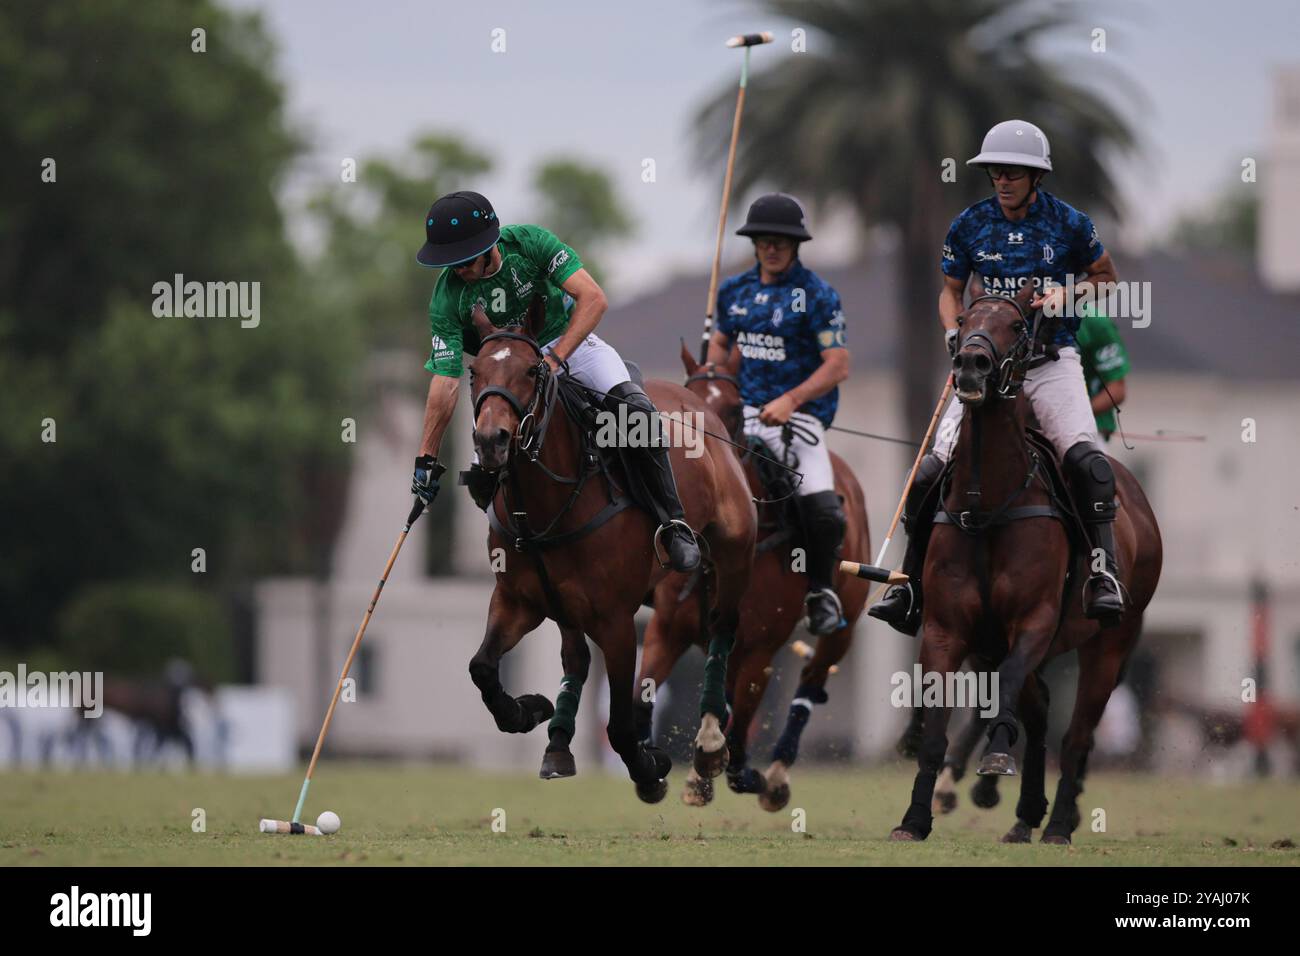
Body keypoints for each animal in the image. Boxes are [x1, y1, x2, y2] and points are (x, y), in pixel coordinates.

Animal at [467, 297, 759, 801]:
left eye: (531, 370)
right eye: (473, 371)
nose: (491, 441)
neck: (546, 503)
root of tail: (700, 401)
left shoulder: (617, 620)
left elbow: (621, 725)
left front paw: (650, 768)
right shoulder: (517, 600)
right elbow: (482, 667)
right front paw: (529, 709)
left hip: (734, 549)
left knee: (724, 627)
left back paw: (709, 744)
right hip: (567, 603)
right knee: (575, 657)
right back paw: (558, 746)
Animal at [631, 348, 873, 811]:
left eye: (732, 409)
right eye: (690, 392)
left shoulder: (762, 647)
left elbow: (741, 736)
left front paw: (733, 768)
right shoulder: (666, 630)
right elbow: (642, 693)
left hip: (842, 626)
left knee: (810, 680)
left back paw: (773, 777)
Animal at [889, 290, 1164, 842]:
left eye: (1017, 325)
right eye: (964, 319)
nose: (970, 364)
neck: (987, 504)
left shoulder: (1033, 622)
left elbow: (1007, 692)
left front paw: (994, 762)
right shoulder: (948, 629)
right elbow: (939, 726)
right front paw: (914, 818)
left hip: (1109, 642)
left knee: (1076, 735)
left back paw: (1057, 823)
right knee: (1041, 713)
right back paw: (1025, 816)